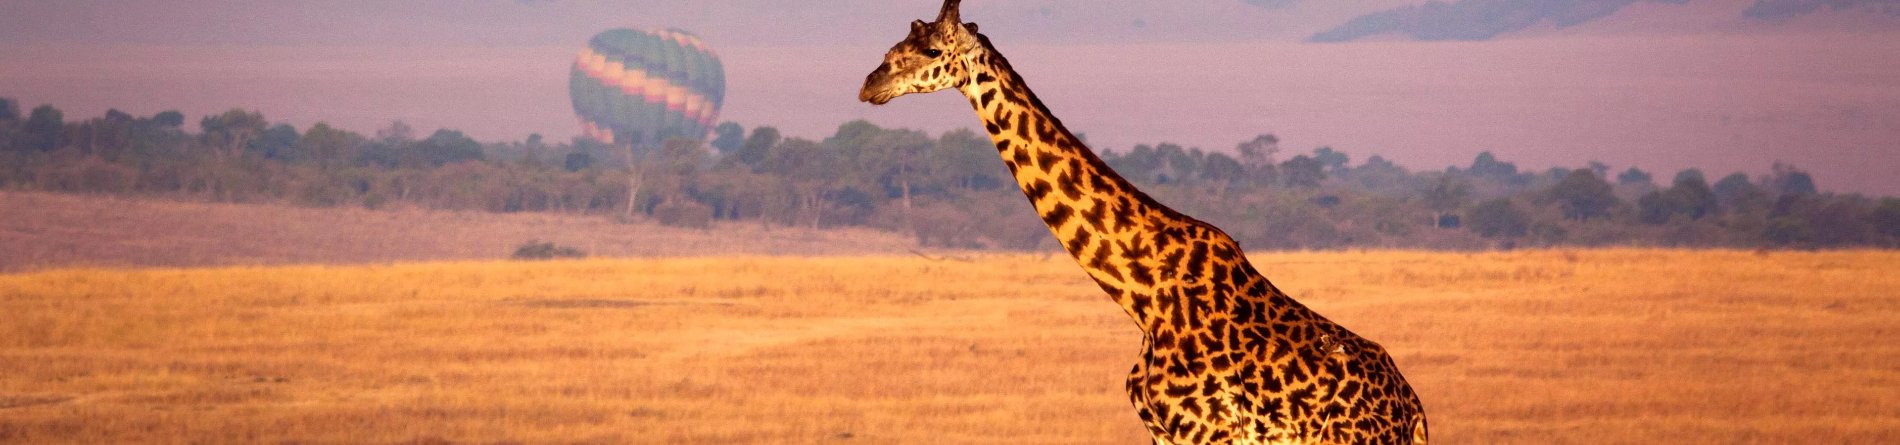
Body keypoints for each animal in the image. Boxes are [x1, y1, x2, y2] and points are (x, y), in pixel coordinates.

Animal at [859, 1, 1428, 444]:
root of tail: (1413, 411)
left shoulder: (1207, 431)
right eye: (897, 43)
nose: (869, 83)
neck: (1141, 291)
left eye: (932, 52)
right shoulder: (1161, 430)